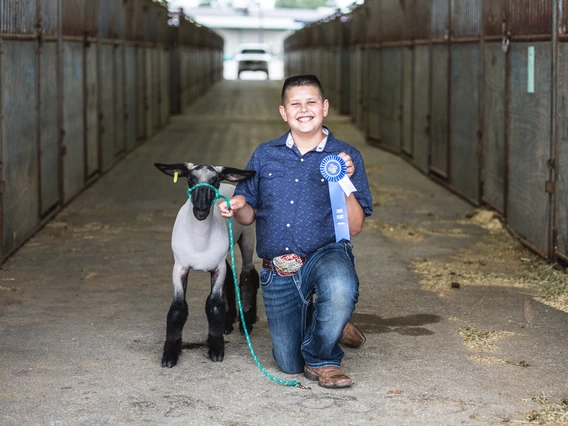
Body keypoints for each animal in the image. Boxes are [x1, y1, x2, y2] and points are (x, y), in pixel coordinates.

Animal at [155, 161, 262, 368]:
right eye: (190, 178)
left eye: (215, 180)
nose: (201, 210)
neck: (199, 242)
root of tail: (231, 185)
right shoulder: (180, 267)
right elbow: (178, 307)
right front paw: (170, 354)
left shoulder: (217, 268)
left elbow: (214, 305)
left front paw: (216, 348)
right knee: (231, 277)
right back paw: (229, 322)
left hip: (247, 236)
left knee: (248, 273)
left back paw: (247, 319)